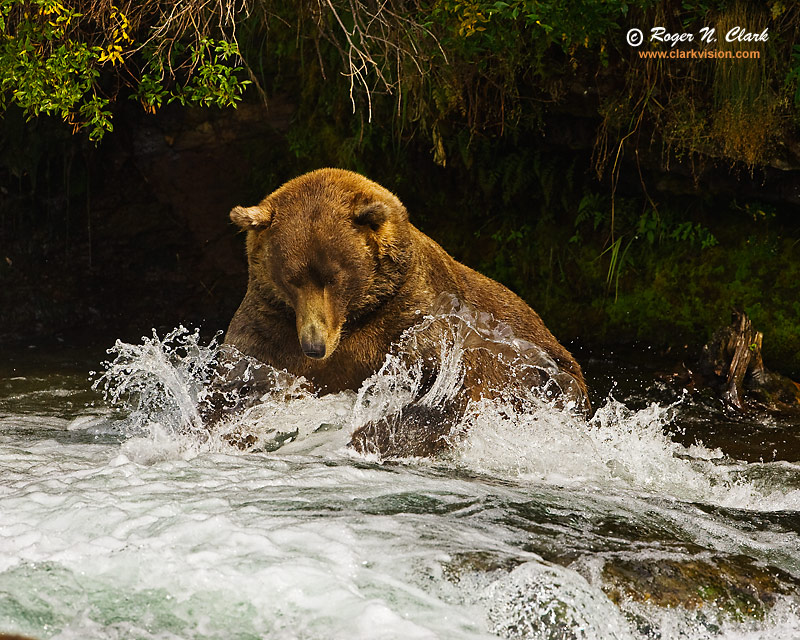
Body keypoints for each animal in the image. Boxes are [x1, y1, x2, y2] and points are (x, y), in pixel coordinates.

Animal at [223, 170, 588, 458]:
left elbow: (451, 388)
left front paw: (363, 439)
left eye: (334, 277)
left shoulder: (415, 321)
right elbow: (238, 385)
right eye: (291, 278)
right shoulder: (270, 329)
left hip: (549, 370)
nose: (314, 346)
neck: (355, 319)